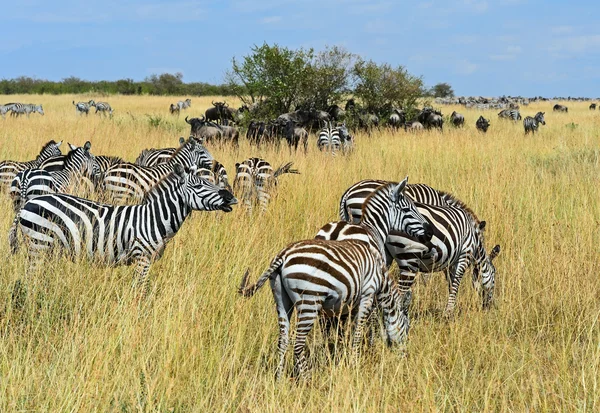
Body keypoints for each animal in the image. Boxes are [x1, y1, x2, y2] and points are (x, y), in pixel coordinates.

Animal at [8, 163, 239, 298]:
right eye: (200, 186)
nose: (231, 197)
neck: (155, 218)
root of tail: (28, 203)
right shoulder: (142, 257)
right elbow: (140, 290)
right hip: (39, 243)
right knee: (31, 278)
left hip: (47, 249)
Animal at [236, 179, 432, 378]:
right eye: (408, 209)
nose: (430, 231)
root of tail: (283, 255)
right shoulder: (367, 294)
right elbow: (361, 327)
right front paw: (356, 360)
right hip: (309, 301)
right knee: (298, 344)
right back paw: (307, 379)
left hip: (282, 299)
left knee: (283, 340)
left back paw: (280, 378)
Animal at [318, 179, 502, 314]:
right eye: (494, 275)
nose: (489, 306)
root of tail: (348, 192)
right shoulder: (460, 253)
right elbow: (454, 281)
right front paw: (448, 311)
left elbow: (450, 280)